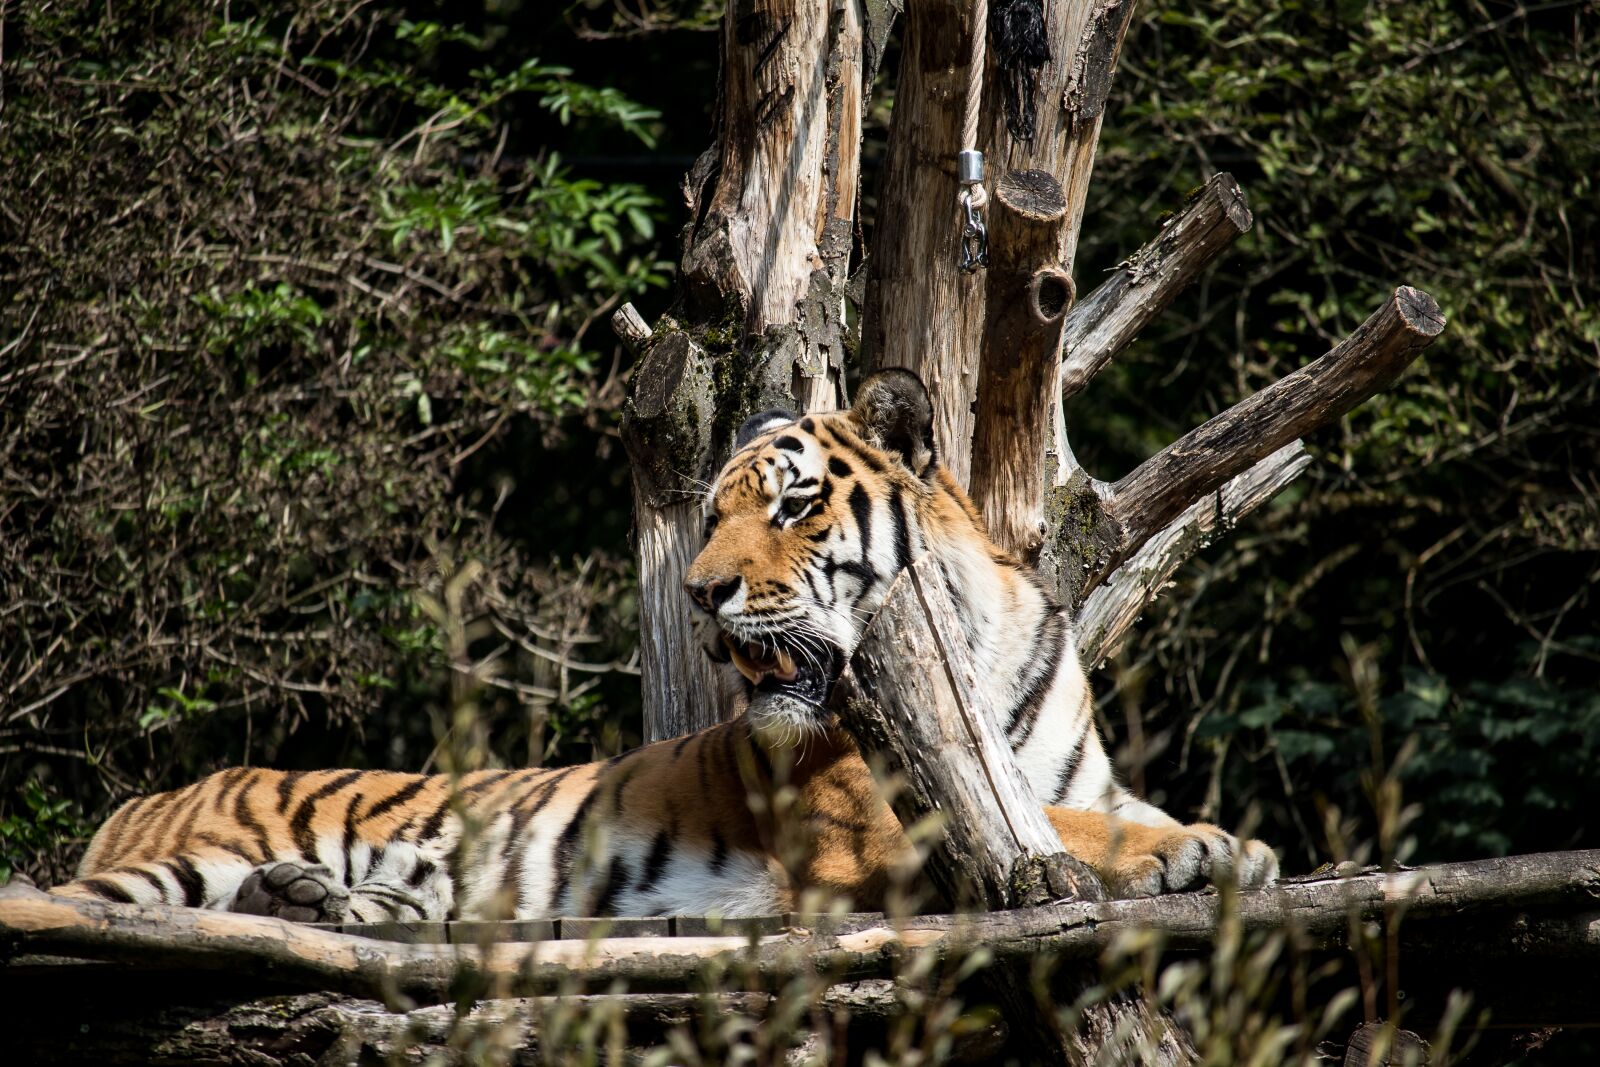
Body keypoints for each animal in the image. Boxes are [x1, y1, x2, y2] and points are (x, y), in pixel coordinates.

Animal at [48, 369, 1277, 924]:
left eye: (791, 506)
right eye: (711, 515)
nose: (697, 591)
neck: (974, 651)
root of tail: (136, 800)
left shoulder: (1078, 773)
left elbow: (1101, 807)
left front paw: (1234, 846)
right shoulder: (871, 829)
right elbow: (1068, 831)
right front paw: (1197, 847)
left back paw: (320, 902)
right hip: (179, 859)